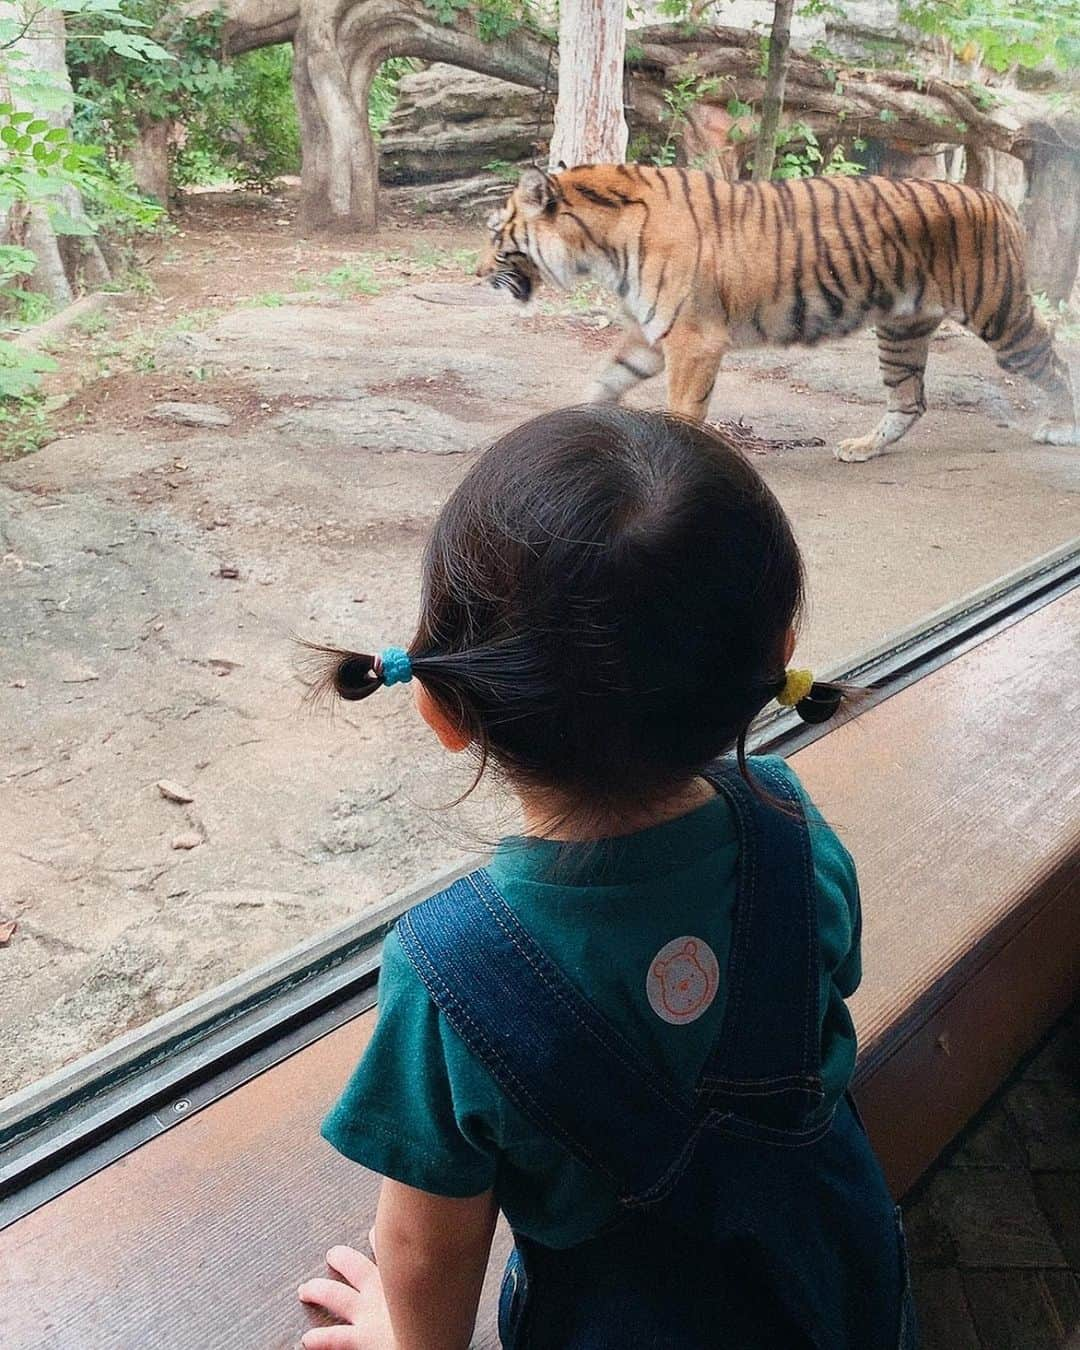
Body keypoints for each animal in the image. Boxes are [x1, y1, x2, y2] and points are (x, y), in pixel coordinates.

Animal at [477, 164, 1080, 464]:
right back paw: (863, 449)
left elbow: (680, 410)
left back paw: (1060, 427)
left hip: (999, 314)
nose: (478, 273)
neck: (597, 246)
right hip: (901, 330)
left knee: (1053, 359)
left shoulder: (693, 339)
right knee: (910, 400)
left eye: (495, 234)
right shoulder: (652, 335)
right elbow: (602, 381)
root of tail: (997, 199)